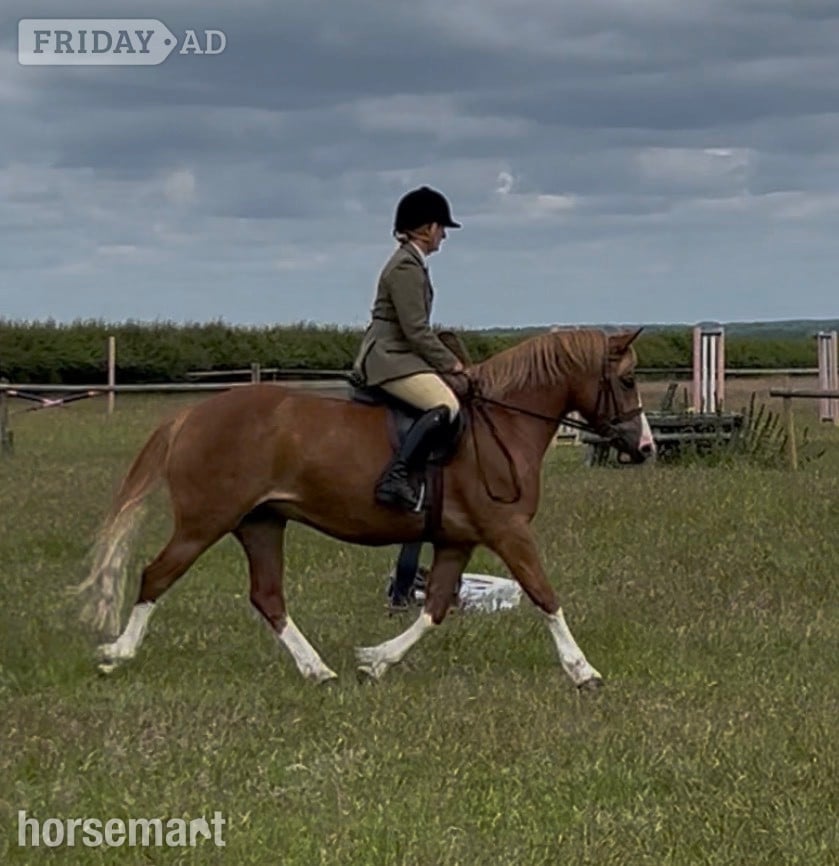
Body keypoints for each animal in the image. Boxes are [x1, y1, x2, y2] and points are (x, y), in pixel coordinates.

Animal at [77, 327, 655, 689]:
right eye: (627, 380)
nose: (645, 446)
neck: (503, 425)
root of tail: (190, 415)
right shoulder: (507, 530)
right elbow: (544, 595)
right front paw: (583, 672)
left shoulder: (457, 540)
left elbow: (435, 608)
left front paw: (375, 662)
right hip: (205, 522)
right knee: (157, 575)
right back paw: (116, 655)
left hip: (260, 523)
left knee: (268, 596)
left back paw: (318, 672)